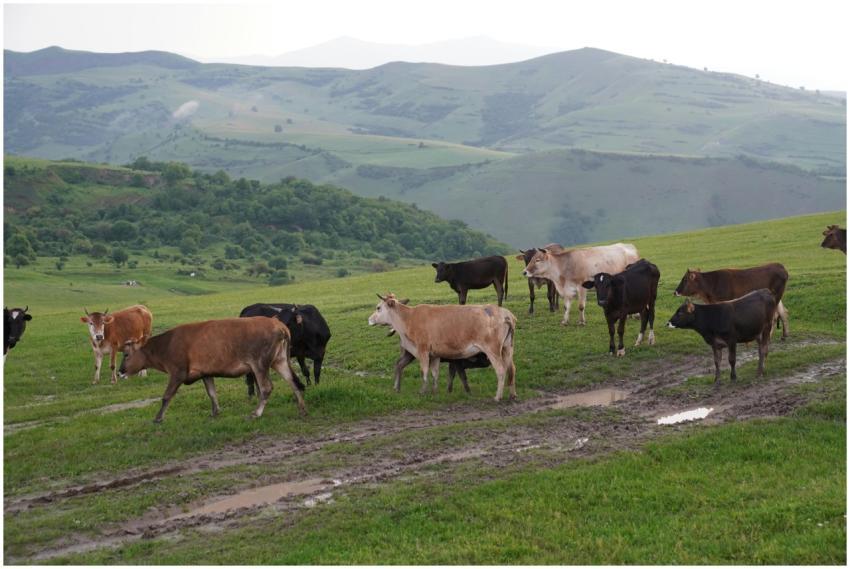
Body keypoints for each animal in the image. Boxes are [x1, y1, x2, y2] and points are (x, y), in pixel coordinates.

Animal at [118, 317, 305, 423]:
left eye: (126, 354)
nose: (120, 371)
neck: (166, 345)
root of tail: (280, 326)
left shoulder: (178, 372)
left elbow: (166, 396)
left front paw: (158, 418)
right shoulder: (206, 373)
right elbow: (212, 393)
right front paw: (215, 412)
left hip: (259, 363)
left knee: (266, 388)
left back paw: (256, 413)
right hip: (280, 360)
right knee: (293, 381)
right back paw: (302, 408)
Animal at [368, 293, 517, 401]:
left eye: (378, 307)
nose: (369, 319)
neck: (409, 318)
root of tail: (504, 314)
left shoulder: (423, 350)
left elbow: (424, 371)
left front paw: (423, 391)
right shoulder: (435, 354)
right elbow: (435, 373)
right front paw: (434, 391)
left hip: (493, 350)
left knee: (501, 370)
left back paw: (498, 397)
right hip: (507, 348)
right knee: (511, 369)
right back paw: (512, 395)